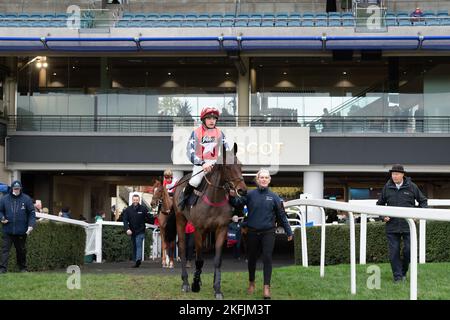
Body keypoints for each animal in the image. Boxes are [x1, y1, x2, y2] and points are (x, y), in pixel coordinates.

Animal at [165, 145, 246, 300]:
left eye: (240, 165)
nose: (242, 190)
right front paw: (195, 284)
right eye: (228, 166)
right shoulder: (198, 229)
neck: (214, 198)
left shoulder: (221, 229)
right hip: (181, 220)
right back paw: (185, 282)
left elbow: (217, 260)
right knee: (183, 248)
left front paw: (217, 289)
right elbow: (199, 259)